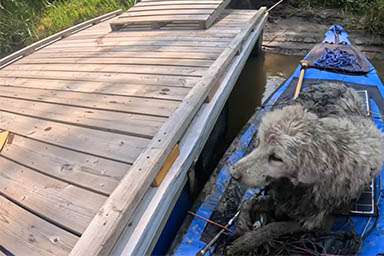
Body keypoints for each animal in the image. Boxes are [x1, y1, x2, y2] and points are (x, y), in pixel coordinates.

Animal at [226, 83, 382, 255]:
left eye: (276, 157)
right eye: (259, 142)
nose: (233, 174)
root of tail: (337, 83)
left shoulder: (316, 221)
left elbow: (273, 227)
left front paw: (243, 243)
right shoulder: (282, 200)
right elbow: (248, 202)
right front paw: (241, 226)